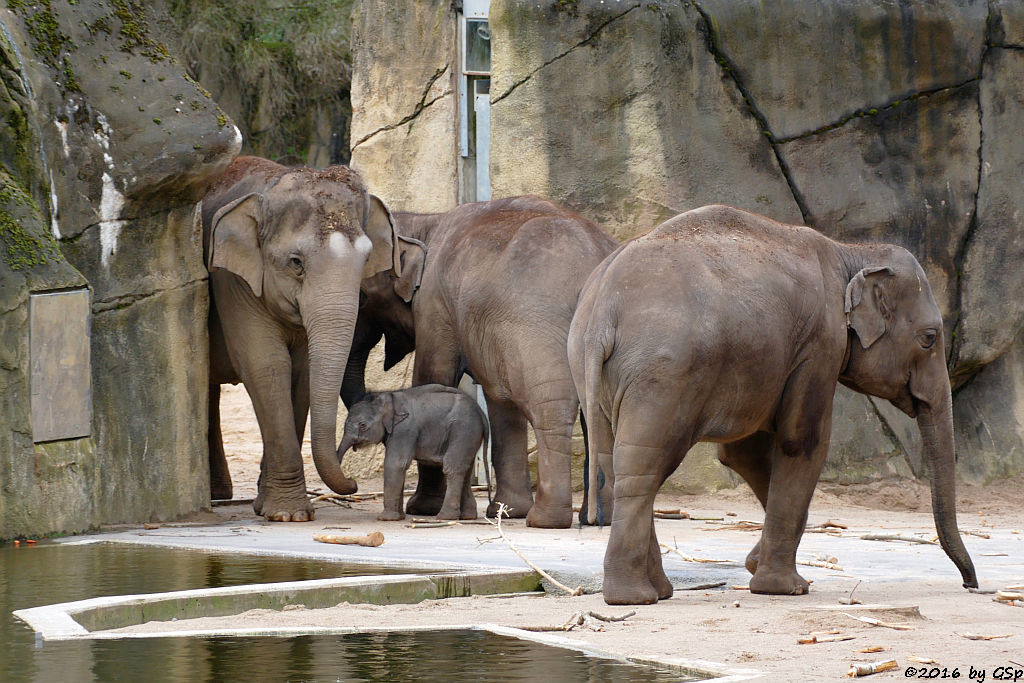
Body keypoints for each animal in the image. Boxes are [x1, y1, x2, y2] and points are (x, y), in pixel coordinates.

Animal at [205, 154, 397, 520]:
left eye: (366, 260)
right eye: (296, 262)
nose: (353, 483)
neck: (273, 184)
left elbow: (305, 370)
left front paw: (269, 507)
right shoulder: (233, 282)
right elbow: (267, 364)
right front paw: (288, 514)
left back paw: (219, 492)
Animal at [335, 385, 487, 524]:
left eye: (362, 425)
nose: (352, 480)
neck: (389, 397)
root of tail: (481, 412)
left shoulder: (404, 430)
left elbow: (395, 464)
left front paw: (386, 519)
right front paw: (399, 517)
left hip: (464, 429)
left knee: (452, 467)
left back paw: (444, 518)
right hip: (470, 434)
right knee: (465, 469)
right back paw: (467, 517)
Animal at [573, 205, 978, 606]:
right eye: (929, 338)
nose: (970, 584)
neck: (850, 252)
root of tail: (602, 313)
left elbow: (743, 454)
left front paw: (755, 563)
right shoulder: (820, 344)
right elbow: (801, 442)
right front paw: (788, 588)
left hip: (602, 375)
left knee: (617, 464)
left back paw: (658, 591)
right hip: (664, 375)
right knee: (645, 466)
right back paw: (633, 597)